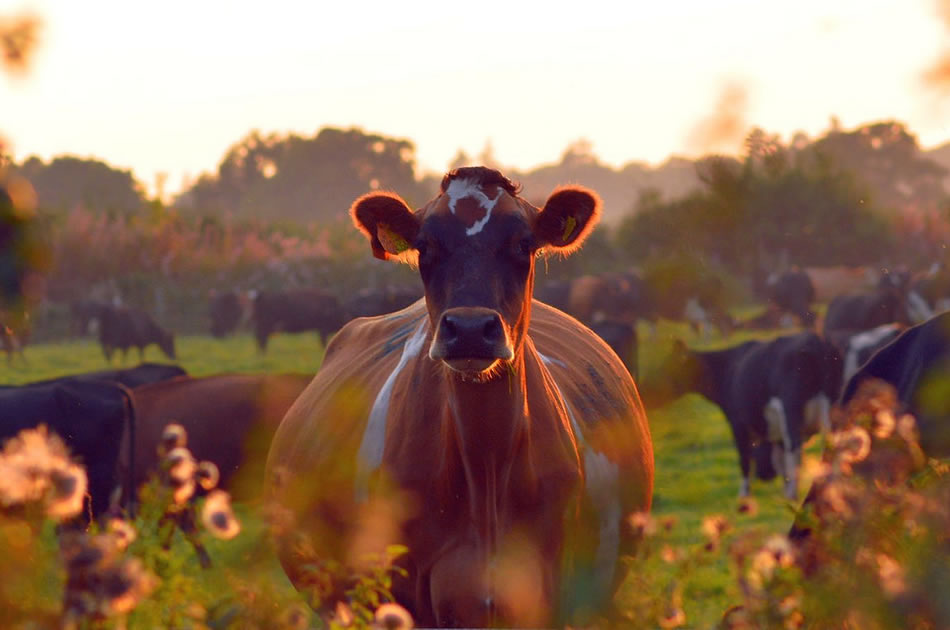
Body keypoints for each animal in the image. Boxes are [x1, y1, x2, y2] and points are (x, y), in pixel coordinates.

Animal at [660, 334, 844, 502]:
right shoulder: (775, 432)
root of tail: (816, 340)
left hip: (792, 407)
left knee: (795, 449)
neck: (727, 369)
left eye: (668, 368)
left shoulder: (738, 422)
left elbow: (745, 458)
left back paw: (794, 495)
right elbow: (779, 460)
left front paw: (744, 496)